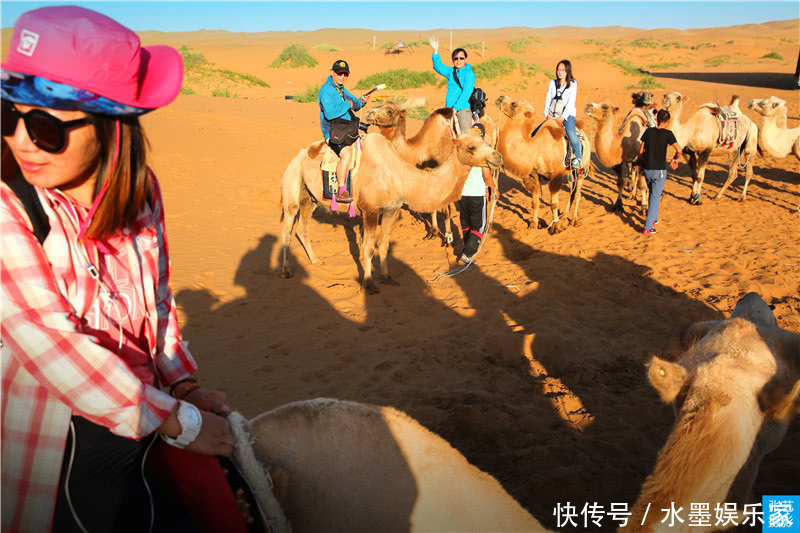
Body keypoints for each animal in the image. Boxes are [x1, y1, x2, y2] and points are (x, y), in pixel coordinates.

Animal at [280, 127, 500, 294]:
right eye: (471, 147)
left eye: (485, 141)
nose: (497, 157)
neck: (400, 176)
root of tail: (296, 157)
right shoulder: (370, 210)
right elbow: (369, 248)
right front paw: (369, 284)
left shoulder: (391, 210)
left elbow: (384, 246)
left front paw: (387, 278)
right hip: (292, 183)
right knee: (287, 230)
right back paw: (285, 271)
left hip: (310, 198)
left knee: (302, 228)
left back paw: (315, 261)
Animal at [496, 96, 592, 233]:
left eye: (514, 104)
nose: (500, 98)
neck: (536, 148)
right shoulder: (534, 175)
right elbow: (535, 201)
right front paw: (534, 224)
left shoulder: (556, 176)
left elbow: (554, 204)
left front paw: (555, 226)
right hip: (570, 173)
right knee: (572, 193)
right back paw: (564, 217)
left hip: (581, 168)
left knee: (578, 194)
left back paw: (573, 220)